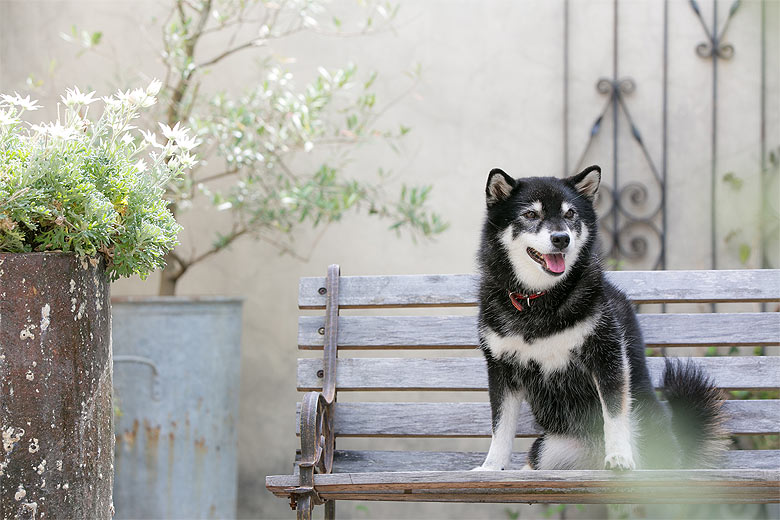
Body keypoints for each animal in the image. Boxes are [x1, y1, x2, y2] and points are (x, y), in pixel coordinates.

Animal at [472, 167, 728, 472]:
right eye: (531, 214)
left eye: (570, 213)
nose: (561, 238)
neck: (540, 300)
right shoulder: (501, 369)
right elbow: (500, 427)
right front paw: (491, 466)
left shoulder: (606, 354)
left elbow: (614, 414)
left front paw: (618, 455)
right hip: (549, 450)